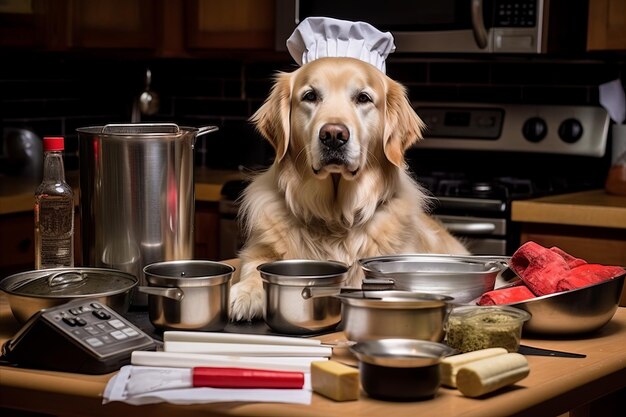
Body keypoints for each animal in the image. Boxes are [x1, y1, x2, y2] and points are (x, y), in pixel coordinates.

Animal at [227, 57, 466, 320]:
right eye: (310, 96)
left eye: (363, 98)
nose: (333, 135)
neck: (335, 218)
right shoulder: (258, 250)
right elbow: (254, 266)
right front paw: (247, 293)